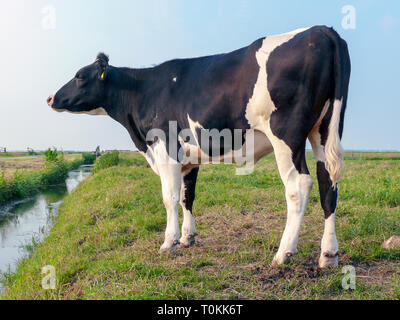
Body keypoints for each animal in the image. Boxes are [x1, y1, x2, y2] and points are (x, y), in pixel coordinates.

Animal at [48, 26, 352, 268]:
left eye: (79, 75)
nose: (50, 97)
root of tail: (321, 30)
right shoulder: (188, 158)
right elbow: (187, 197)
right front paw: (187, 237)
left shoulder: (165, 148)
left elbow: (169, 198)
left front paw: (169, 242)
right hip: (324, 130)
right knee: (328, 185)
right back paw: (328, 255)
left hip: (286, 136)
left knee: (299, 186)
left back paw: (284, 252)